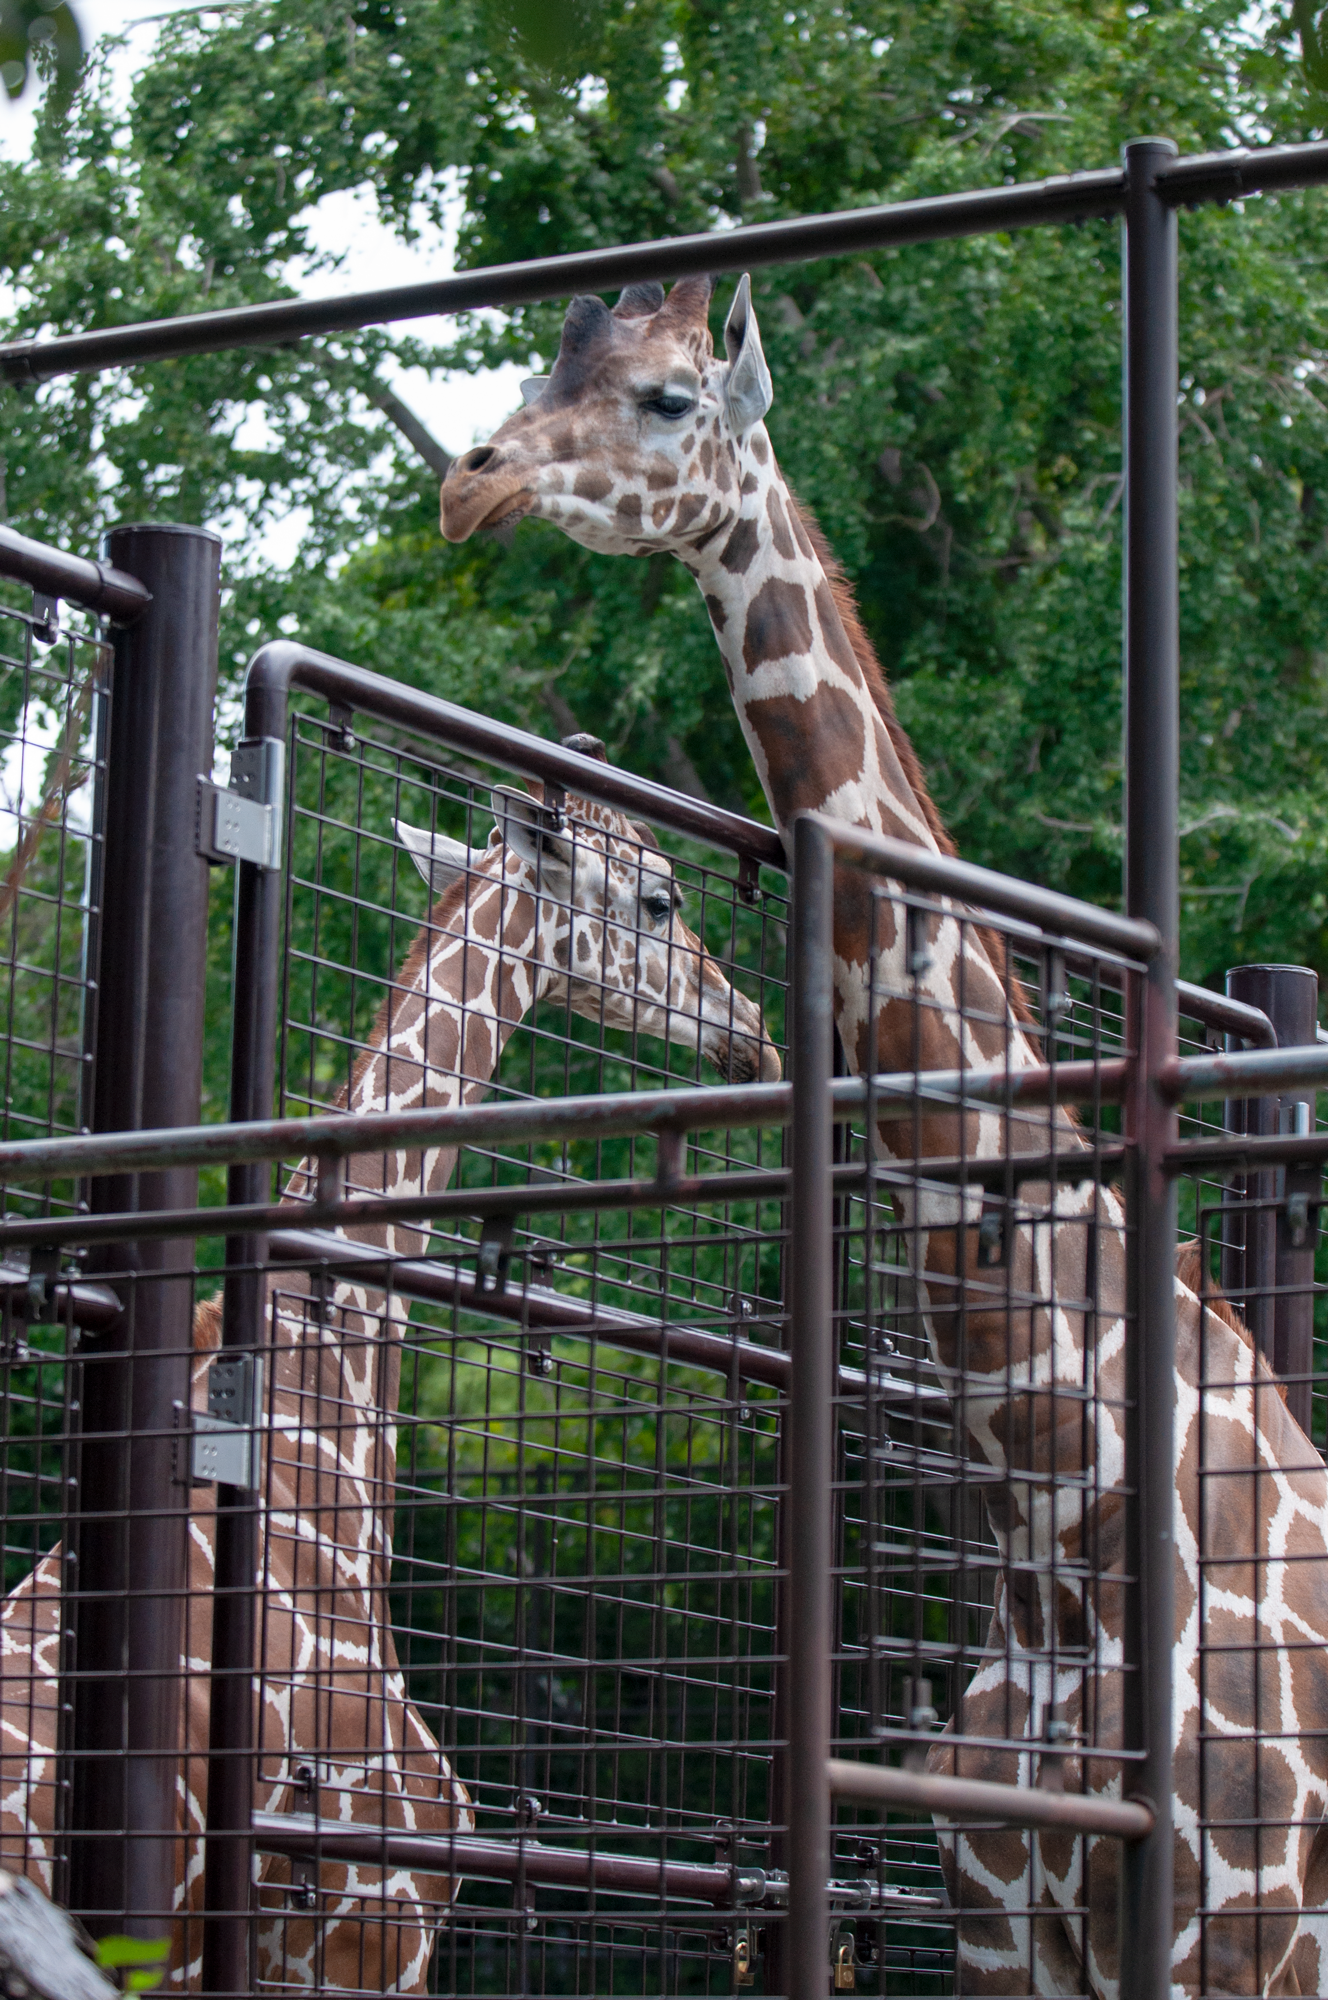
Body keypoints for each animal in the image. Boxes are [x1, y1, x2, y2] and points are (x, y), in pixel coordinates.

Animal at [438, 282, 1328, 2000]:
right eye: (544, 365)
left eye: (665, 396)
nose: (472, 484)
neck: (1060, 1528)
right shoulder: (996, 1931)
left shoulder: (1234, 1934)